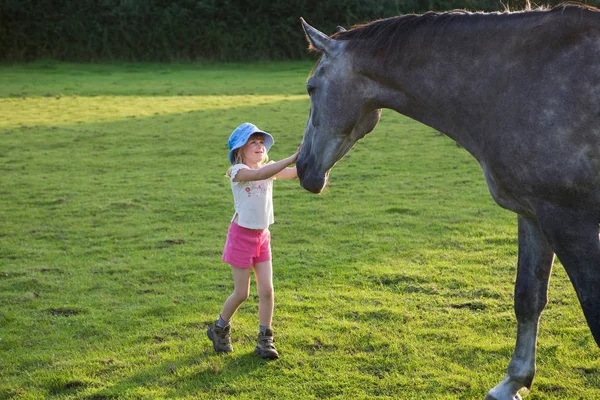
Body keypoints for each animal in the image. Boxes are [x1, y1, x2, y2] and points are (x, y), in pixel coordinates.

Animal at [298, 3, 600, 400]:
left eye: (311, 88)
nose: (302, 167)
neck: (520, 80)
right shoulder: (535, 215)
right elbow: (528, 297)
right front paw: (512, 382)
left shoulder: (570, 221)